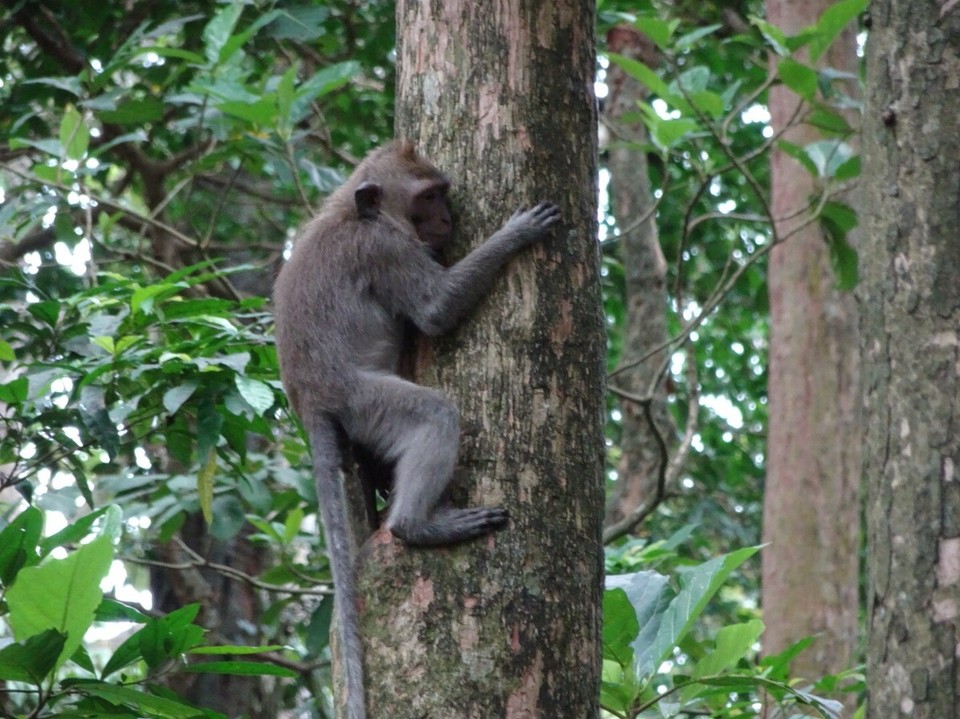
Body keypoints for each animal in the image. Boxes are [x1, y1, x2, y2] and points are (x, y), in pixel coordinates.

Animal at [270, 142, 560, 719]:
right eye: (427, 198)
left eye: (443, 193)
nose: (447, 219)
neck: (357, 213)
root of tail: (309, 398)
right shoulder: (387, 249)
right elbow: (435, 311)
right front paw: (516, 233)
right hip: (364, 400)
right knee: (435, 415)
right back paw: (415, 525)